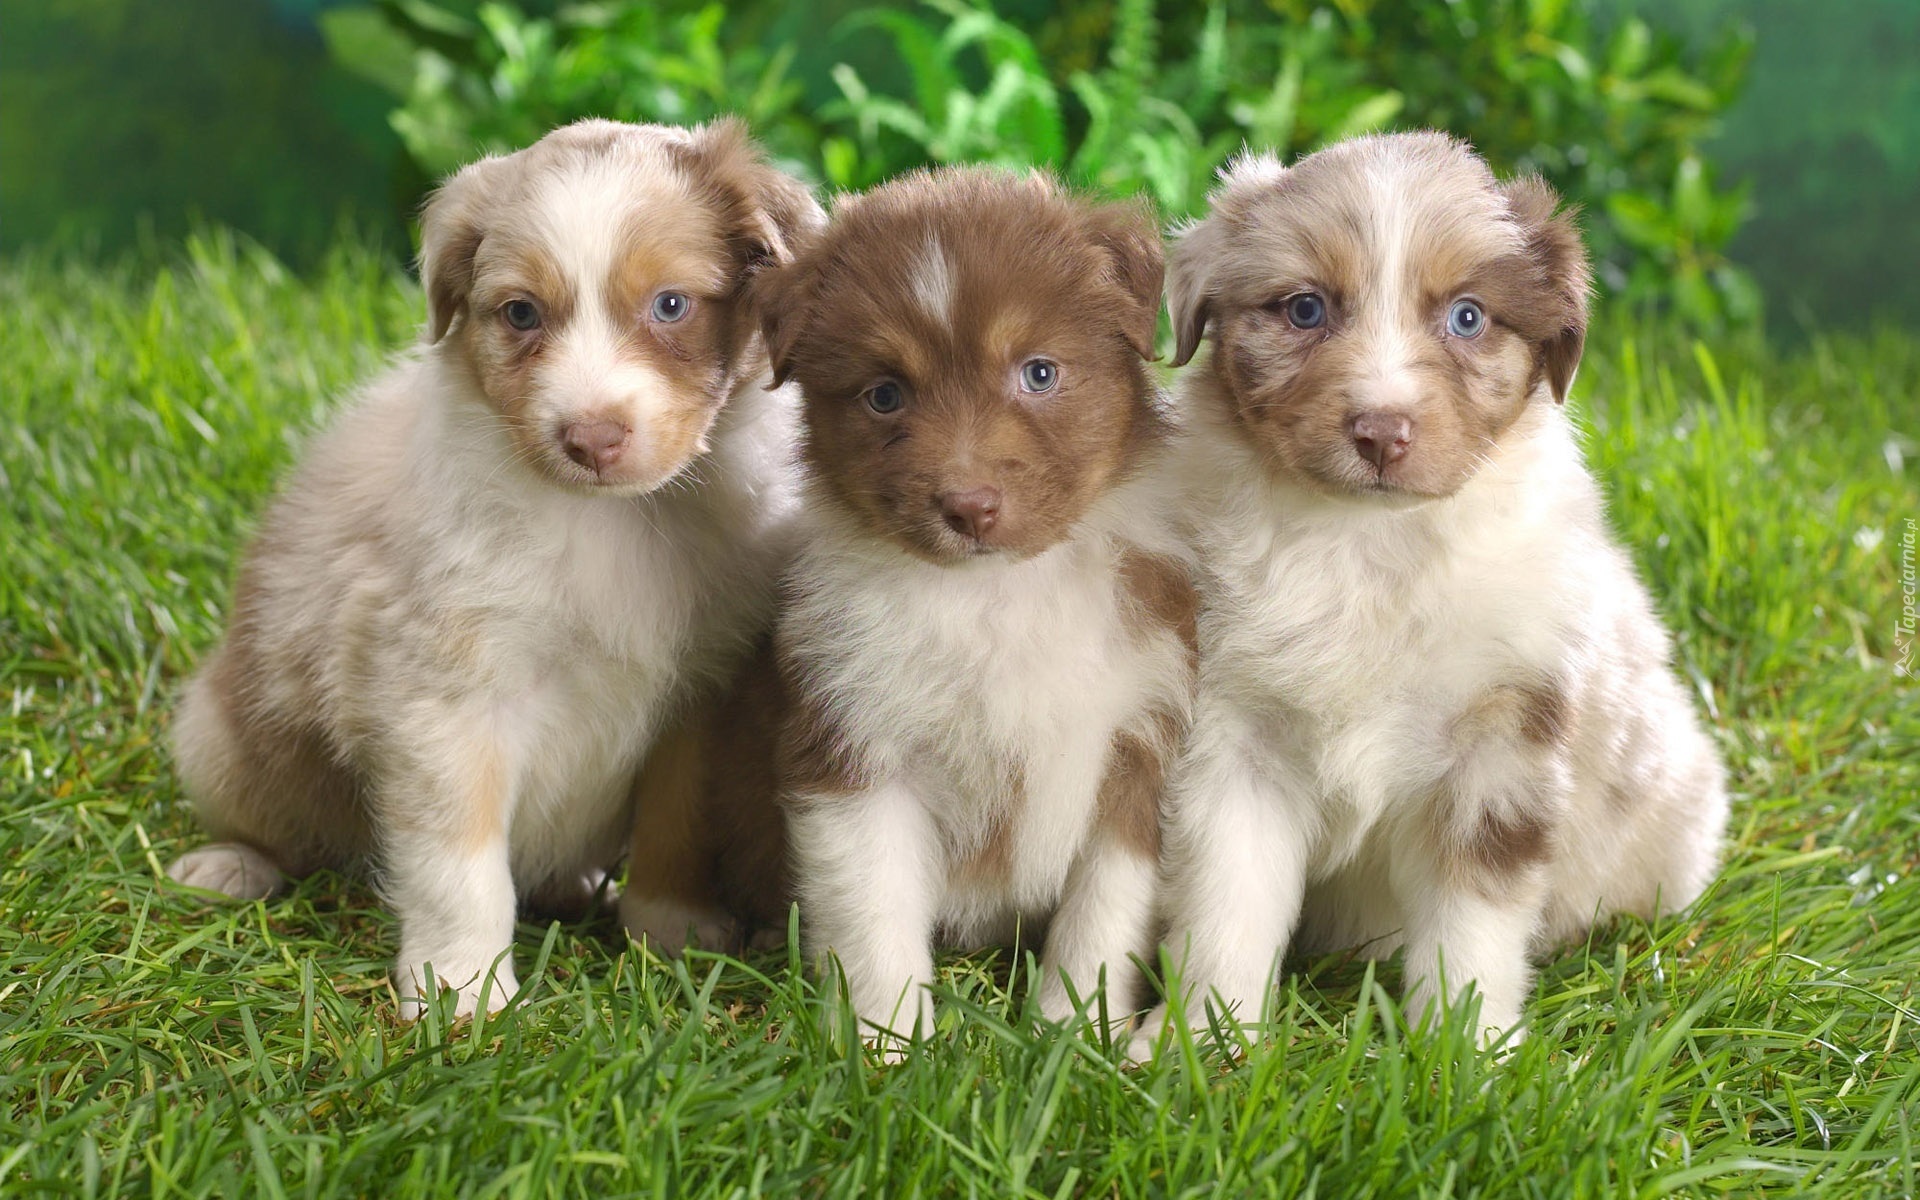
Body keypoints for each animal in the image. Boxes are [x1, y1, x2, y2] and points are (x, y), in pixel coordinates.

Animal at [168, 117, 821, 1013]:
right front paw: (463, 992)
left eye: (671, 304)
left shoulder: (697, 699)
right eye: (520, 313)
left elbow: (677, 822)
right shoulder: (443, 694)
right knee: (268, 823)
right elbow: (461, 863)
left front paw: (672, 930)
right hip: (225, 738)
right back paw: (228, 866)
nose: (590, 438)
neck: (613, 523)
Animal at [614, 164, 1190, 1044]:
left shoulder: (1134, 748)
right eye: (885, 395)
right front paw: (887, 1045)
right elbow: (874, 912)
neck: (993, 598)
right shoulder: (851, 743)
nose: (969, 507)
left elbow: (1101, 916)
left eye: (1040, 372)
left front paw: (1070, 1034)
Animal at [1128, 130, 1735, 1044]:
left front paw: (1463, 1051)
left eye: (1468, 317)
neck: (1371, 545)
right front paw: (1202, 1039)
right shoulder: (1234, 738)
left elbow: (1470, 923)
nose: (1382, 432)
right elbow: (1226, 900)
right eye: (1305, 310)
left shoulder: (1501, 745)